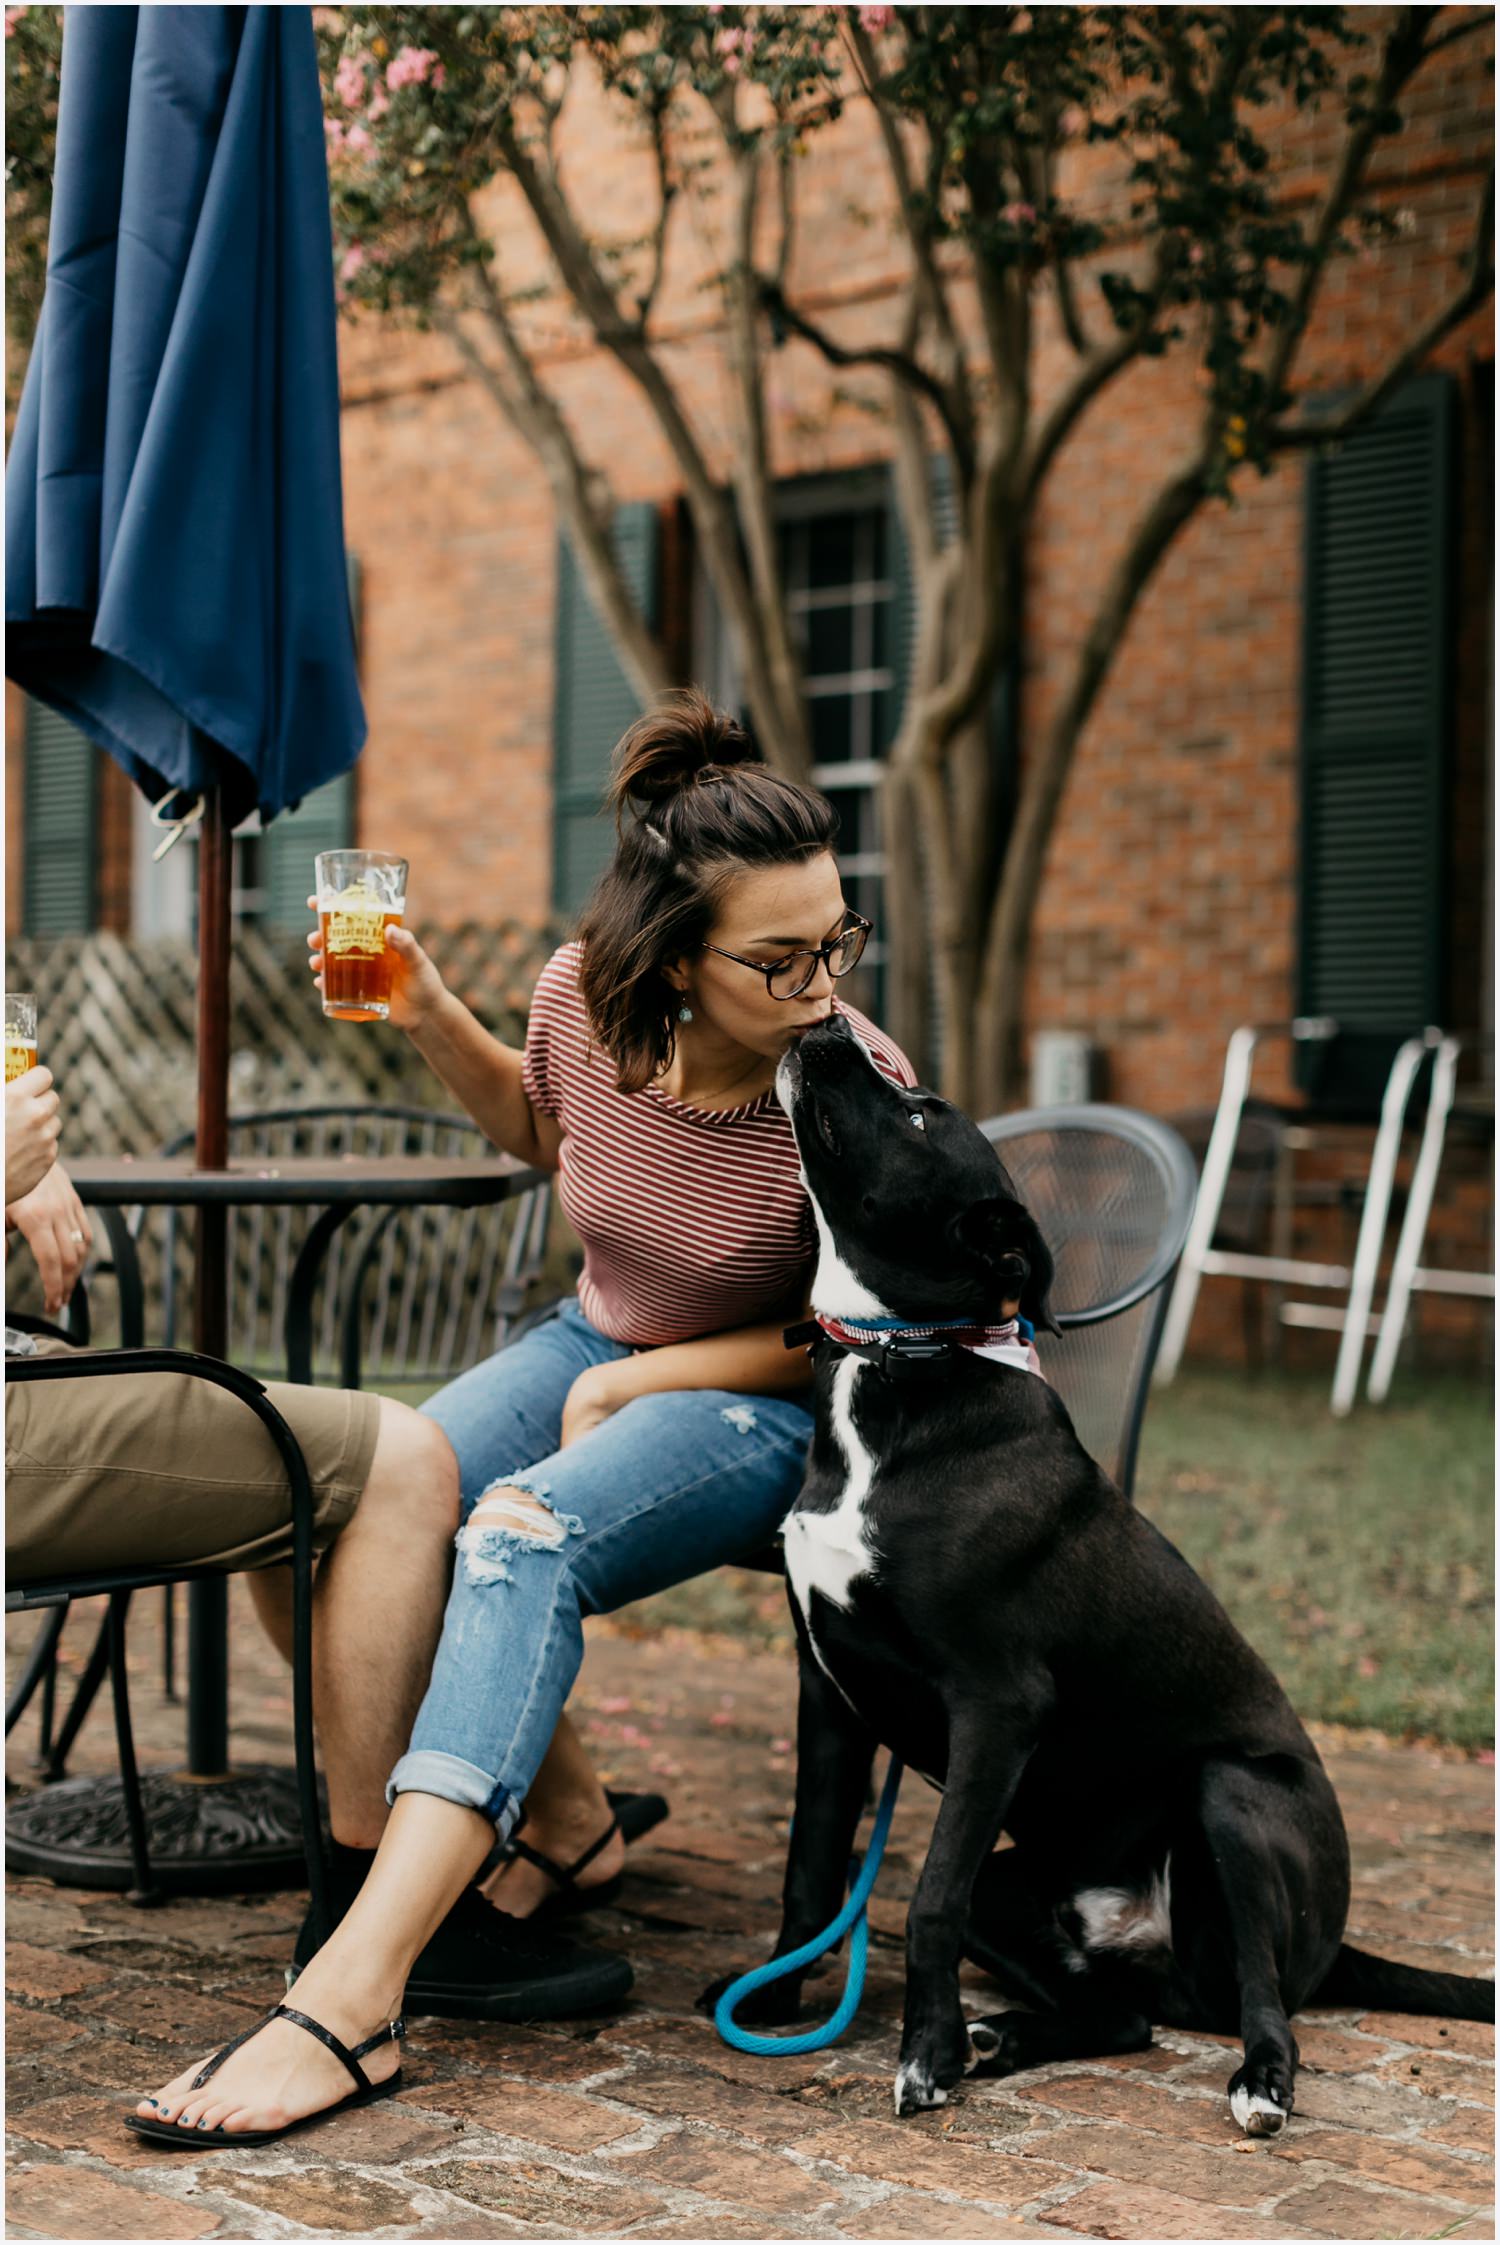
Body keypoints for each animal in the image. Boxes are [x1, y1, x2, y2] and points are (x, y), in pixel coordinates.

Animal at [709, 1028, 1491, 2128]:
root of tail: (1336, 1942)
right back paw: (1002, 2038)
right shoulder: (826, 1690)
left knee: (1259, 2001)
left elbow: (926, 1895)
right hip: (1019, 1893)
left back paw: (1257, 2081)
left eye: (919, 1110)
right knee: (1129, 2018)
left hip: (1232, 1796)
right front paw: (777, 2001)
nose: (823, 1030)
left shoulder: (997, 1704)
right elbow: (811, 1869)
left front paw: (922, 2055)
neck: (902, 1369)